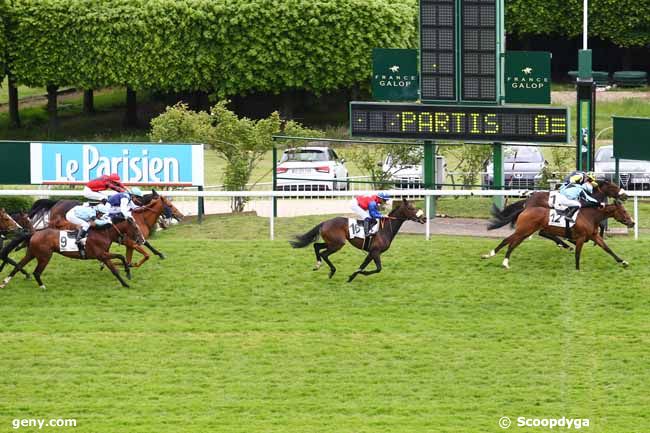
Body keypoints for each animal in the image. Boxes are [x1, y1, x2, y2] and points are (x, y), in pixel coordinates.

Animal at [0, 216, 144, 290]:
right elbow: (121, 257)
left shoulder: (103, 256)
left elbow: (115, 270)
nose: (142, 240)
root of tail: (34, 233)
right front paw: (128, 274)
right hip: (45, 256)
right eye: (136, 227)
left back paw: (4, 283)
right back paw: (43, 286)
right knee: (36, 272)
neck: (104, 233)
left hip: (31, 253)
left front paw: (126, 283)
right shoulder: (101, 254)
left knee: (18, 266)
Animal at [290, 198, 426, 282]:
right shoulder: (375, 251)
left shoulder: (372, 252)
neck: (385, 228)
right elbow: (378, 269)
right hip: (337, 244)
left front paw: (351, 277)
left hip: (332, 242)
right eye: (411, 208)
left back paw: (317, 265)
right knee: (324, 253)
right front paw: (361, 274)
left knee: (317, 246)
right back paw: (331, 271)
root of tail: (324, 222)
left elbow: (363, 266)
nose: (424, 218)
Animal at [484, 200, 632, 270]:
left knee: (512, 244)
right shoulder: (581, 238)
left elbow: (608, 249)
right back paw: (491, 256)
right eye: (624, 211)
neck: (591, 216)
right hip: (523, 231)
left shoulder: (594, 236)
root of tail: (525, 209)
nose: (632, 222)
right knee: (507, 240)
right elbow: (578, 253)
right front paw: (577, 269)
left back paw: (503, 261)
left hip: (525, 233)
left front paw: (623, 261)